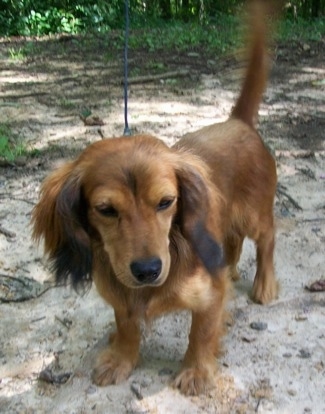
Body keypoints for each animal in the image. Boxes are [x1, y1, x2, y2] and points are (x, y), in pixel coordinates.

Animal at [31, 0, 278, 398]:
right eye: (105, 209)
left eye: (166, 202)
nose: (147, 271)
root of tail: (237, 122)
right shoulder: (121, 295)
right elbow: (127, 325)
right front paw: (121, 359)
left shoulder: (210, 296)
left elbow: (201, 332)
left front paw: (195, 371)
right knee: (232, 241)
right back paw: (230, 264)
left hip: (255, 214)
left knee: (267, 237)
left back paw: (264, 284)